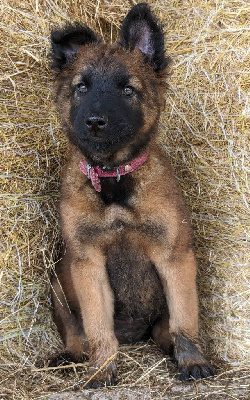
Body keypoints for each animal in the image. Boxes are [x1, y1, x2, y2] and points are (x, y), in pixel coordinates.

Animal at [49, 2, 215, 388]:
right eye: (82, 87)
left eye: (127, 90)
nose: (95, 121)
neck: (114, 181)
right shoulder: (86, 262)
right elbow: (97, 326)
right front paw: (102, 367)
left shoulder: (175, 256)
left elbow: (185, 318)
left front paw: (192, 361)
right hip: (56, 281)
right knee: (75, 330)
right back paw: (72, 354)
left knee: (170, 328)